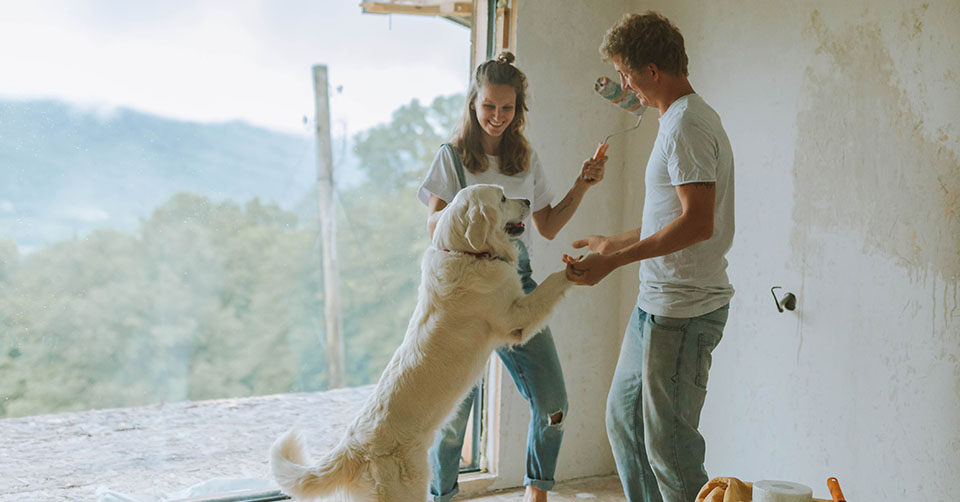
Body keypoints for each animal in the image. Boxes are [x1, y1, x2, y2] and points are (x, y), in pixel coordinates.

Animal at [268, 185, 568, 502]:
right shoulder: (516, 317)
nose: (528, 200)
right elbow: (551, 284)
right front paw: (578, 267)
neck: (466, 253)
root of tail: (353, 447)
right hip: (408, 486)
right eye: (501, 197)